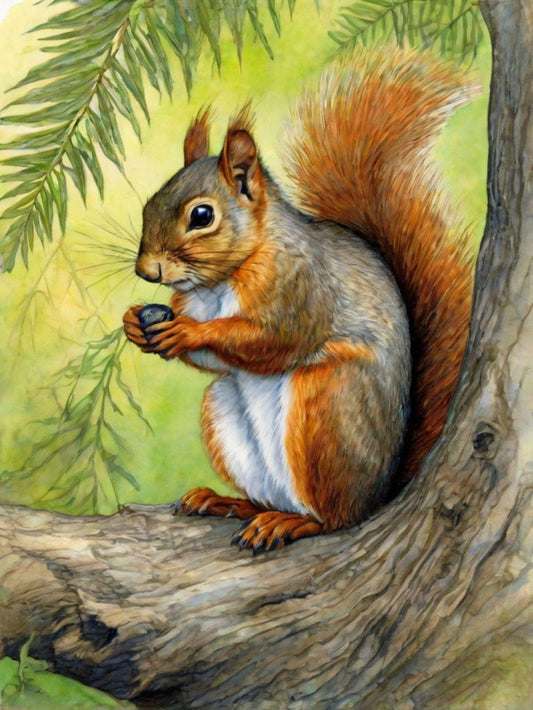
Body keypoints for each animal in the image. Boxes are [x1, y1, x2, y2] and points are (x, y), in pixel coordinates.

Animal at [123, 49, 473, 553]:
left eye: (202, 215)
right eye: (149, 204)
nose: (146, 270)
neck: (220, 281)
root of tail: (382, 493)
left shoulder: (302, 288)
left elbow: (274, 340)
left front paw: (188, 331)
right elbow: (214, 359)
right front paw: (136, 323)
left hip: (326, 405)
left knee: (334, 516)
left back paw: (293, 522)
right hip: (223, 412)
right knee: (269, 495)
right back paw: (230, 502)